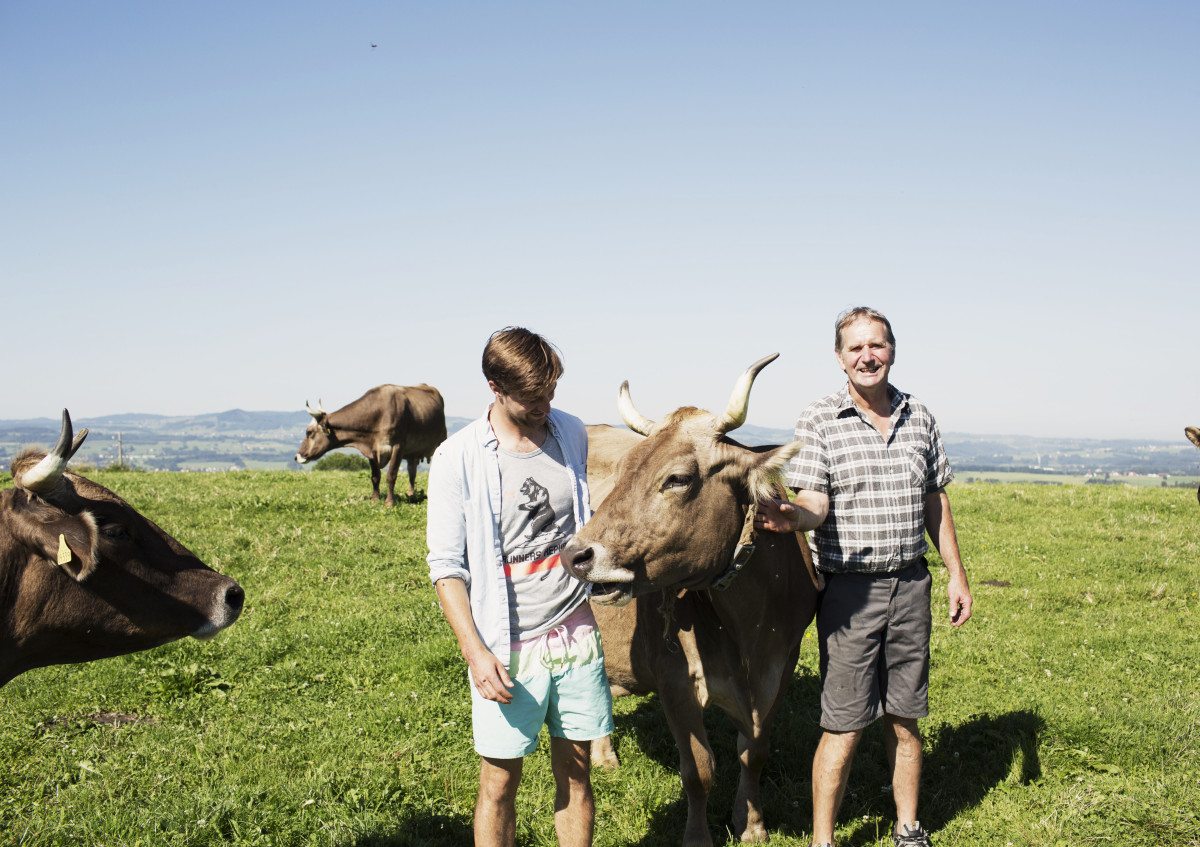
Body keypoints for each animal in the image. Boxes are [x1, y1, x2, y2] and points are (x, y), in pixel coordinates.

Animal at [295, 383, 451, 508]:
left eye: (309, 432)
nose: (297, 456)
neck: (379, 414)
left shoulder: (398, 446)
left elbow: (391, 475)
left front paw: (389, 502)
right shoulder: (371, 449)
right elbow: (375, 476)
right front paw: (374, 499)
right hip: (412, 453)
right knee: (412, 471)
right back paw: (410, 494)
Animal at [561, 352, 816, 844]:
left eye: (677, 478)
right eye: (622, 471)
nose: (575, 555)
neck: (746, 629)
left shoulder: (782, 664)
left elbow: (755, 751)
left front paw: (752, 824)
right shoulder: (674, 676)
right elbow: (699, 771)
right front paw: (698, 836)